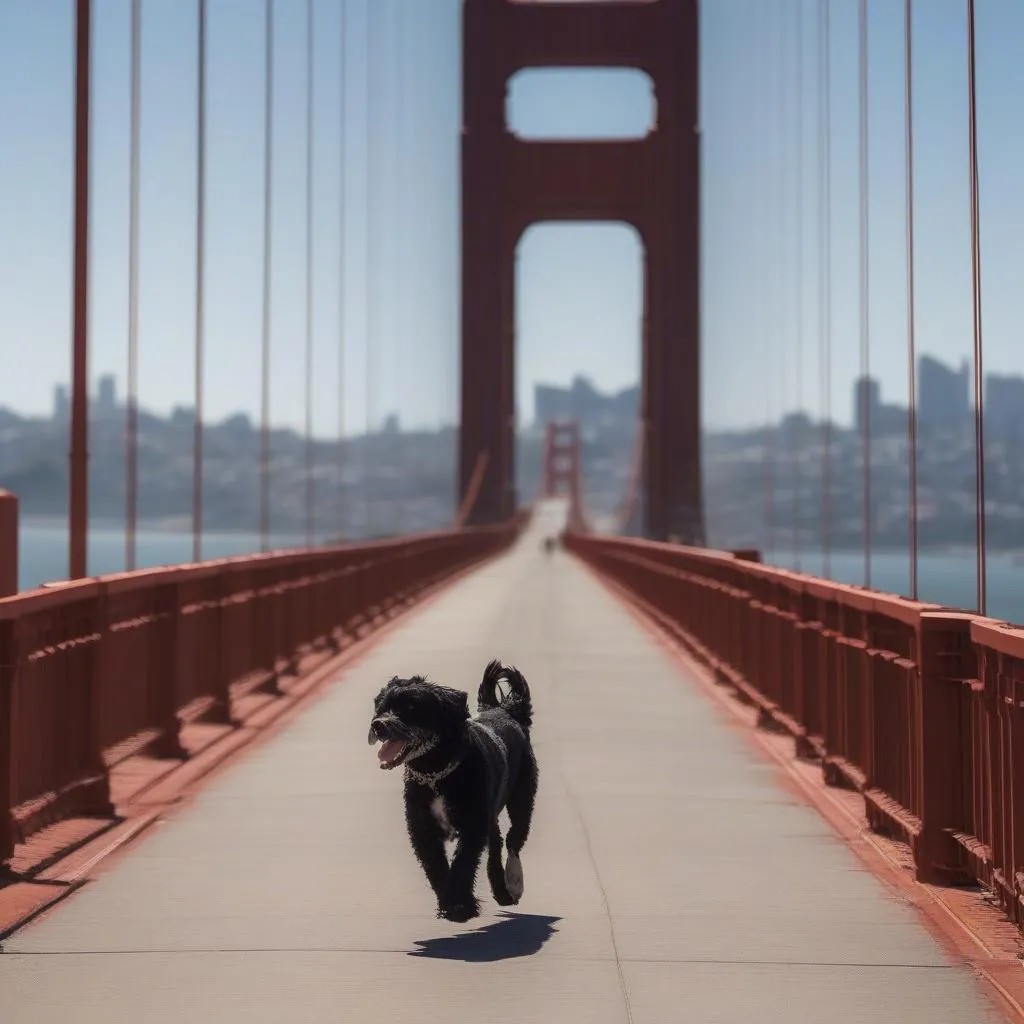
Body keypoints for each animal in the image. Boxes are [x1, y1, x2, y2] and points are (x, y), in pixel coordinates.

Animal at [370, 659, 544, 925]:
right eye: (382, 707)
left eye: (410, 707)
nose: (378, 725)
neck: (436, 773)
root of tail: (506, 710)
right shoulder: (423, 830)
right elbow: (436, 867)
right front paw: (448, 902)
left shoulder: (472, 826)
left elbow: (462, 864)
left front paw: (461, 905)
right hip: (490, 814)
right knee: (497, 842)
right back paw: (500, 890)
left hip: (522, 798)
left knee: (514, 839)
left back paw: (513, 883)